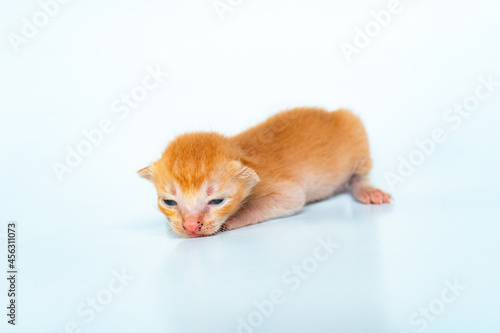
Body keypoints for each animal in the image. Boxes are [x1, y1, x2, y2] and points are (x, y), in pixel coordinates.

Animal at [139, 107, 392, 236]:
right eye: (169, 202)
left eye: (217, 201)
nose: (191, 227)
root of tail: (332, 112)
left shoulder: (285, 190)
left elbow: (289, 199)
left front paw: (232, 221)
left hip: (356, 133)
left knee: (359, 175)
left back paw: (367, 190)